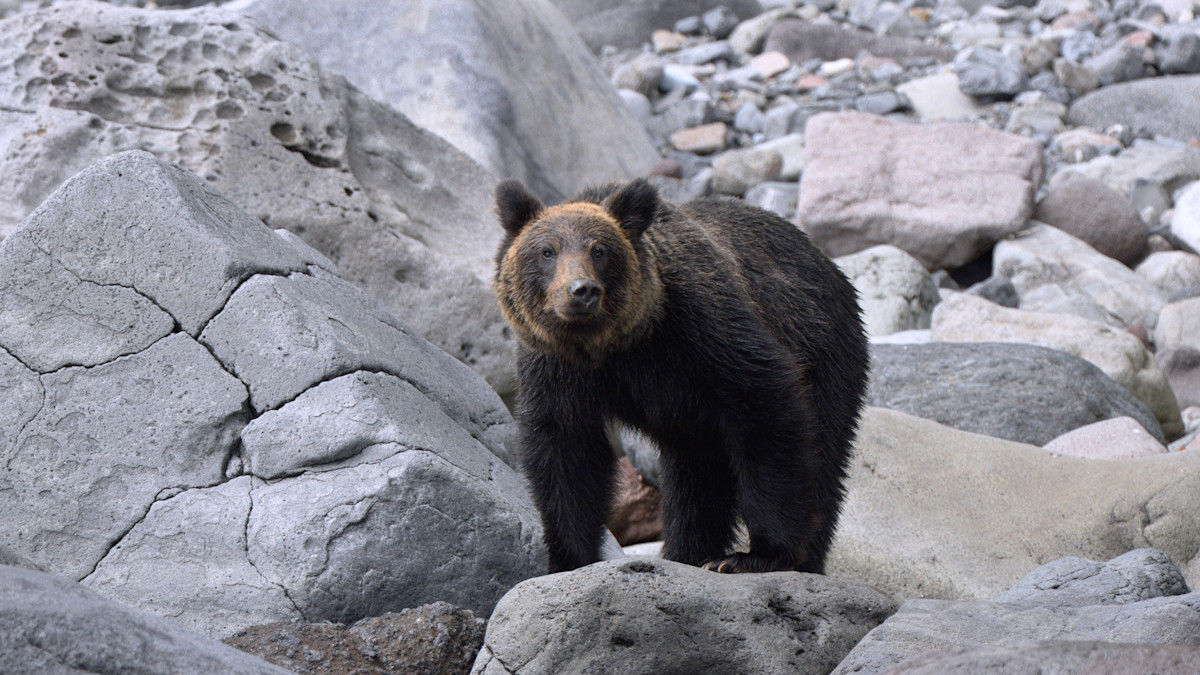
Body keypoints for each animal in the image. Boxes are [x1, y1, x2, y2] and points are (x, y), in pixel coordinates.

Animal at [493, 177, 869, 574]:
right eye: (547, 251)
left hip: (827, 350)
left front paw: (757, 555)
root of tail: (828, 264)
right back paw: (687, 551)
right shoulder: (557, 371)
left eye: (599, 250)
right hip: (693, 422)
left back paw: (801, 559)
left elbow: (766, 406)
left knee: (824, 454)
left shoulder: (703, 330)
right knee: (695, 478)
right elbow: (565, 451)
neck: (614, 346)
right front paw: (569, 558)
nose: (582, 291)